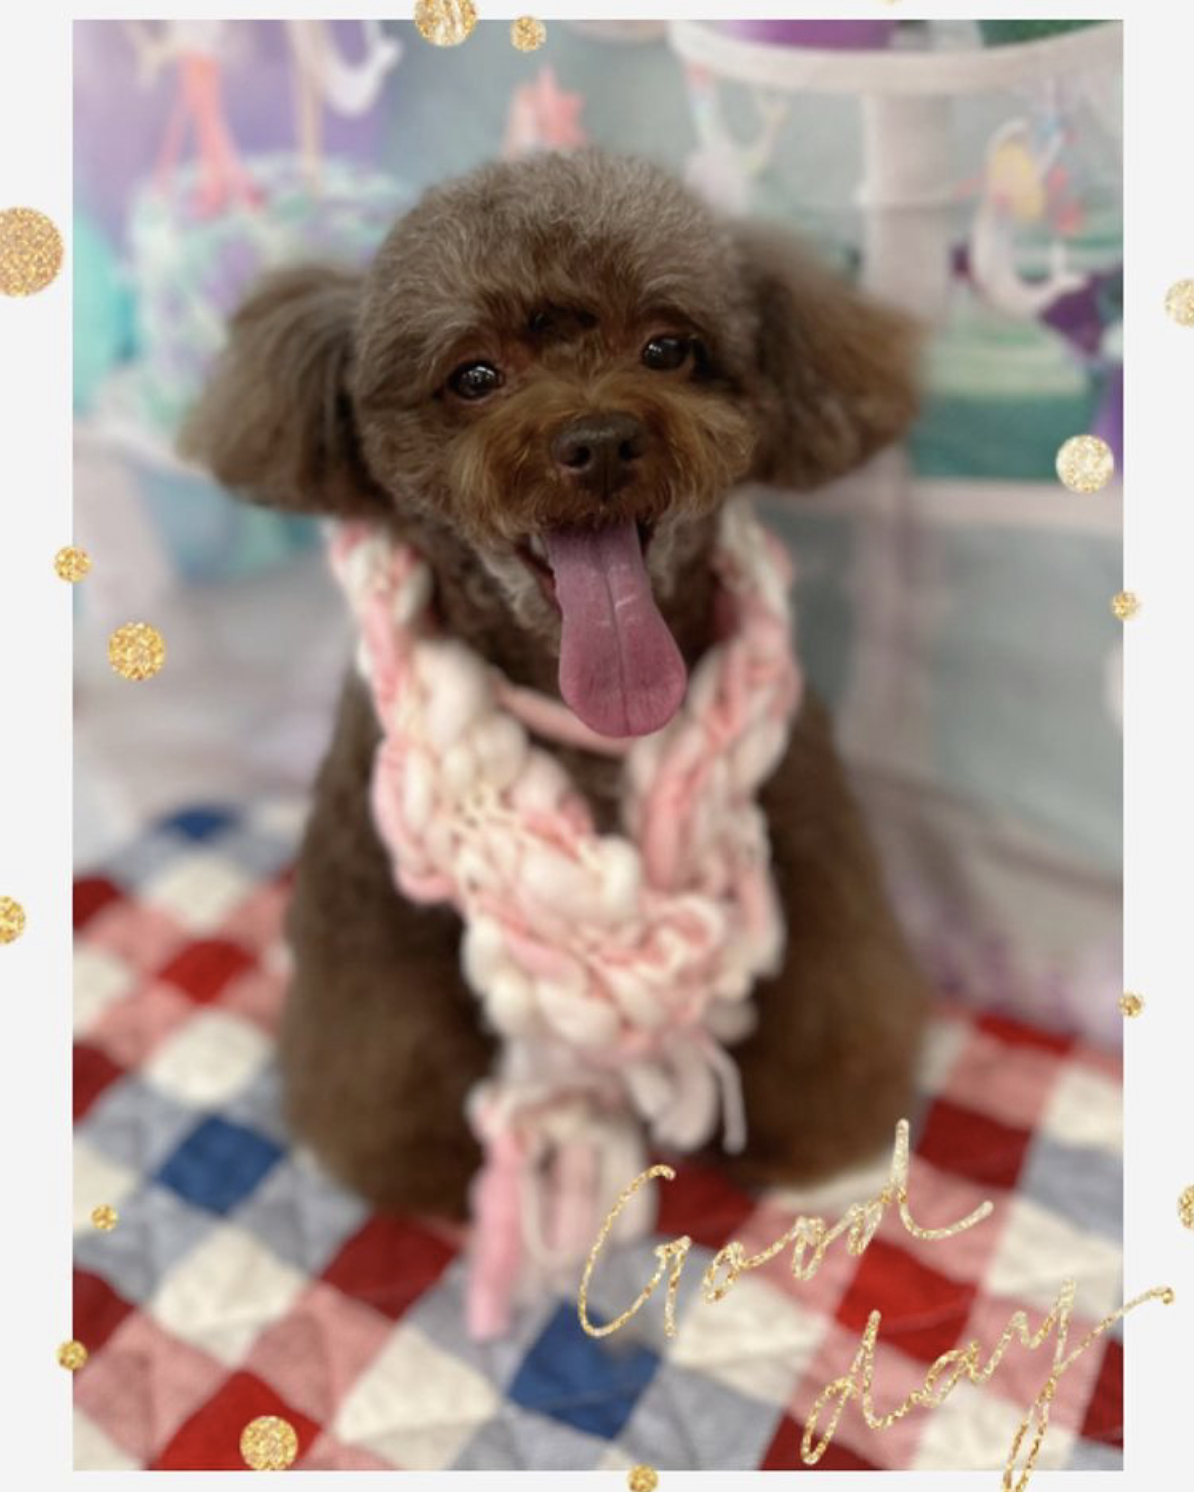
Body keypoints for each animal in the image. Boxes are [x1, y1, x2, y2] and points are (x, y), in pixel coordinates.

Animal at [180, 148, 930, 1224]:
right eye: (475, 374)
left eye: (668, 346)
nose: (602, 438)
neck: (596, 732)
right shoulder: (371, 911)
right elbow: (385, 1039)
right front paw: (419, 1167)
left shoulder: (811, 845)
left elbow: (829, 994)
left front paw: (823, 1134)